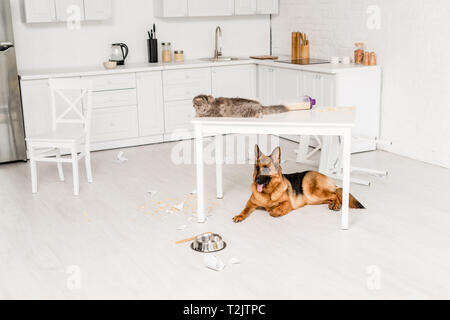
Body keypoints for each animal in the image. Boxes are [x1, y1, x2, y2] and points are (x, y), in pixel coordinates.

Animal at [232, 146, 366, 222]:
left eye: (266, 168)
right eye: (257, 168)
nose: (256, 181)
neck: (269, 192)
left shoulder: (287, 203)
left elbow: (273, 211)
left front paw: (274, 210)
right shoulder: (251, 202)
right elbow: (245, 209)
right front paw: (239, 215)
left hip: (312, 191)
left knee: (335, 194)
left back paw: (336, 204)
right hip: (313, 199)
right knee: (332, 196)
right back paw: (332, 204)